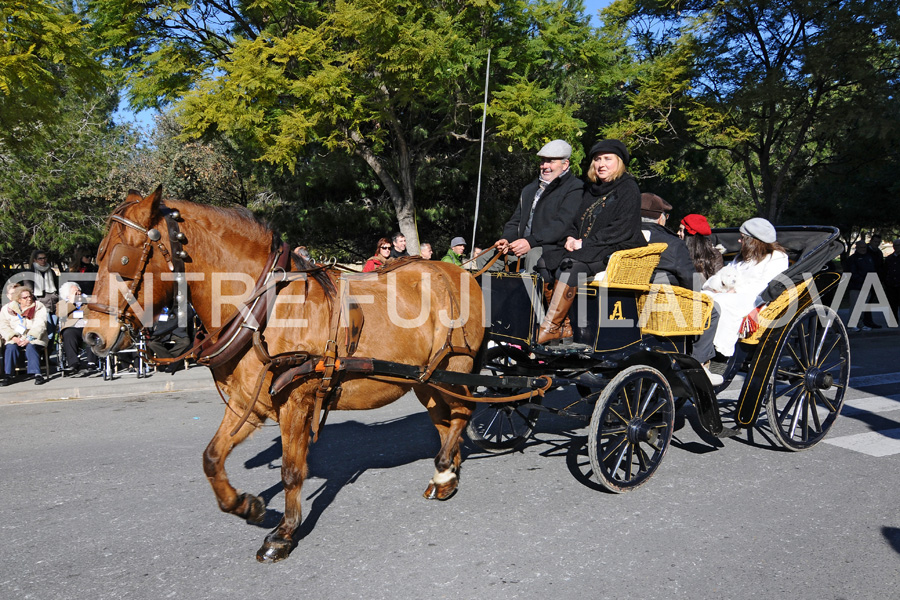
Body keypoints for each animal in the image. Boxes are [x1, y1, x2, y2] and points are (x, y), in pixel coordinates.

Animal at [84, 189, 486, 564]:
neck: (264, 310)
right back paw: (448, 474)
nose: (92, 336)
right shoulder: (248, 402)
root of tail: (462, 272)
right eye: (97, 257)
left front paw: (283, 533)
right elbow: (212, 458)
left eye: (123, 258)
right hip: (426, 379)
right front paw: (248, 506)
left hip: (455, 368)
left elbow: (292, 471)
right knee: (443, 420)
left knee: (463, 413)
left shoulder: (296, 400)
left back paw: (444, 471)